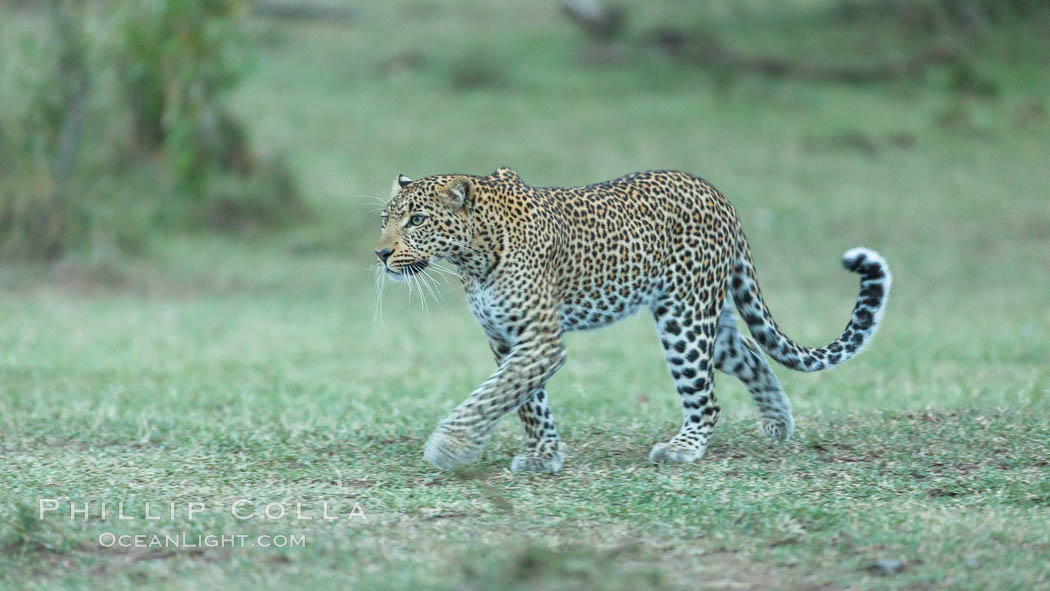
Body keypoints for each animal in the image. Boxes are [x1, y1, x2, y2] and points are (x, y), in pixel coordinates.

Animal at [373, 169, 890, 474]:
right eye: (385, 218)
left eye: (417, 219)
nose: (380, 253)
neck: (473, 256)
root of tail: (719, 195)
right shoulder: (506, 340)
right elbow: (525, 401)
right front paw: (544, 454)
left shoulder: (539, 340)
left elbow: (492, 394)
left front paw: (450, 446)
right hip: (706, 317)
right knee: (750, 352)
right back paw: (778, 421)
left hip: (684, 317)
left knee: (707, 398)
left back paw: (684, 448)